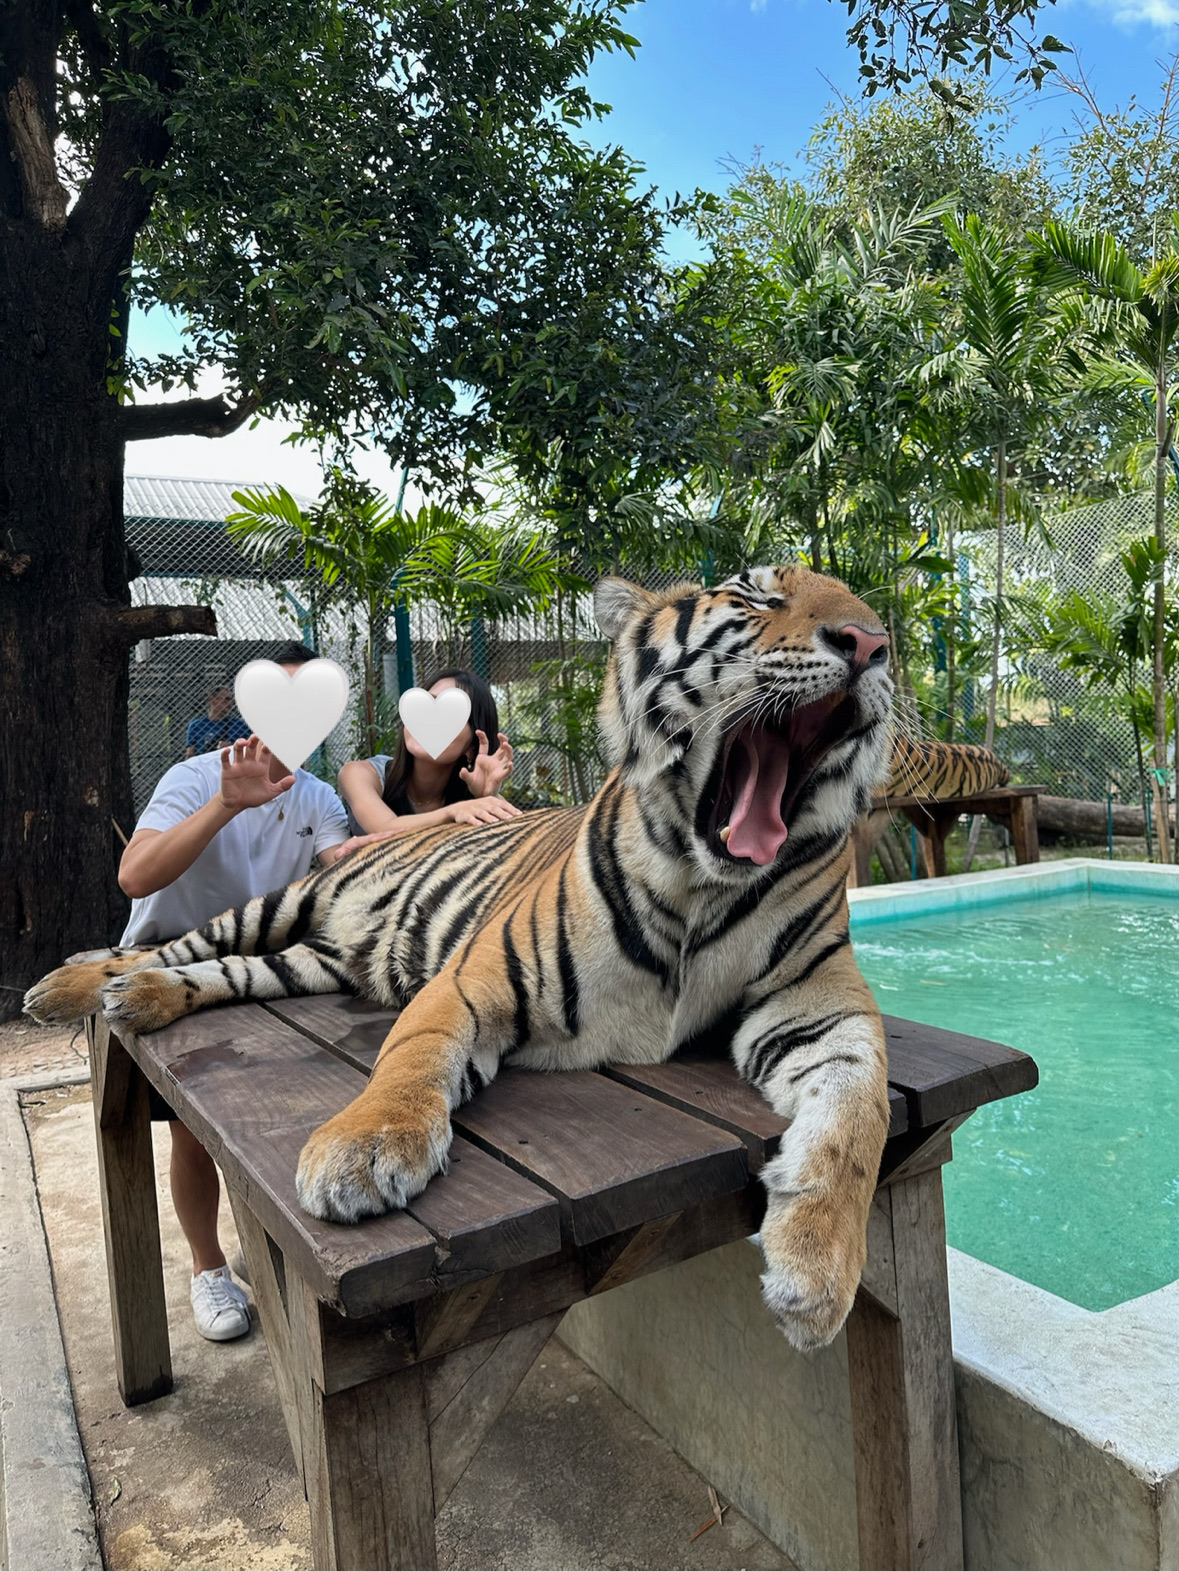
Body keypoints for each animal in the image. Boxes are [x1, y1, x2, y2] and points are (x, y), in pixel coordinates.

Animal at [25, 563, 897, 1352]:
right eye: (756, 597)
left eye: (866, 607)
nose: (871, 642)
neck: (702, 884)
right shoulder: (475, 976)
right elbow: (414, 1055)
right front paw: (360, 1154)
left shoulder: (819, 1006)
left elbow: (859, 1120)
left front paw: (817, 1274)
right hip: (275, 906)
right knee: (169, 943)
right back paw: (68, 986)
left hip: (305, 962)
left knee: (216, 973)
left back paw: (142, 998)